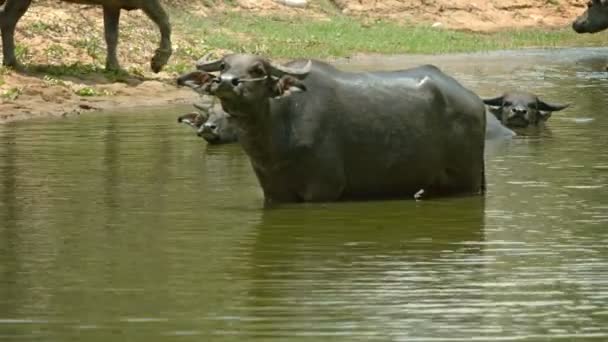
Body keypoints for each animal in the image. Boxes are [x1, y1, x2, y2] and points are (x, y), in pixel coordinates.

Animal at [0, 0, 171, 72]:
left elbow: (111, 35)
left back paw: (11, 62)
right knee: (8, 19)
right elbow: (164, 21)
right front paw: (159, 60)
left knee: (7, 19)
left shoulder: (112, 5)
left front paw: (113, 66)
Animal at [176, 53, 484, 203]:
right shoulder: (274, 193)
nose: (227, 82)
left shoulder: (323, 189)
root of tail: (475, 101)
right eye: (224, 65)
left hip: (468, 181)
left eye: (257, 69)